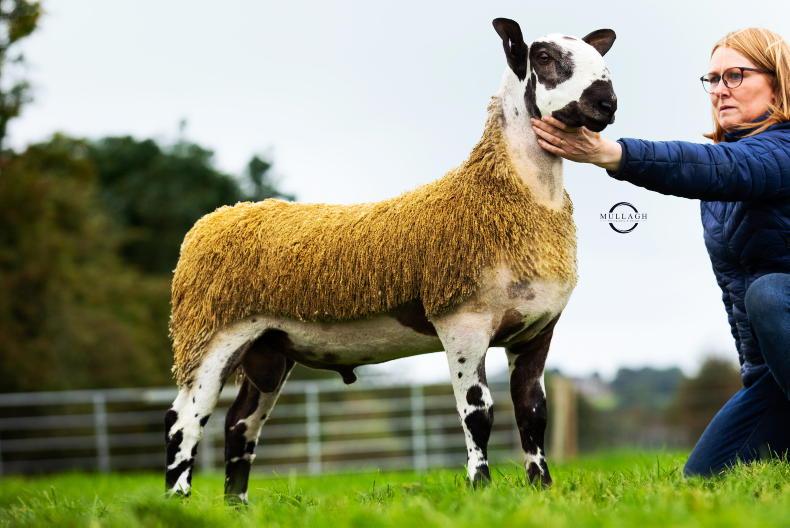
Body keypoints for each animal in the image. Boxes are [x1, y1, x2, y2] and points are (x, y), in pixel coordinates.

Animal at [164, 18, 617, 502]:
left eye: (601, 59)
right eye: (544, 57)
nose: (607, 102)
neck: (510, 194)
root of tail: (214, 219)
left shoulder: (537, 330)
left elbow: (532, 412)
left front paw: (542, 488)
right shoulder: (461, 321)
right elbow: (478, 413)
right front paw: (480, 487)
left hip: (268, 348)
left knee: (240, 425)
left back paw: (237, 506)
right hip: (210, 334)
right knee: (184, 420)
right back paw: (179, 500)